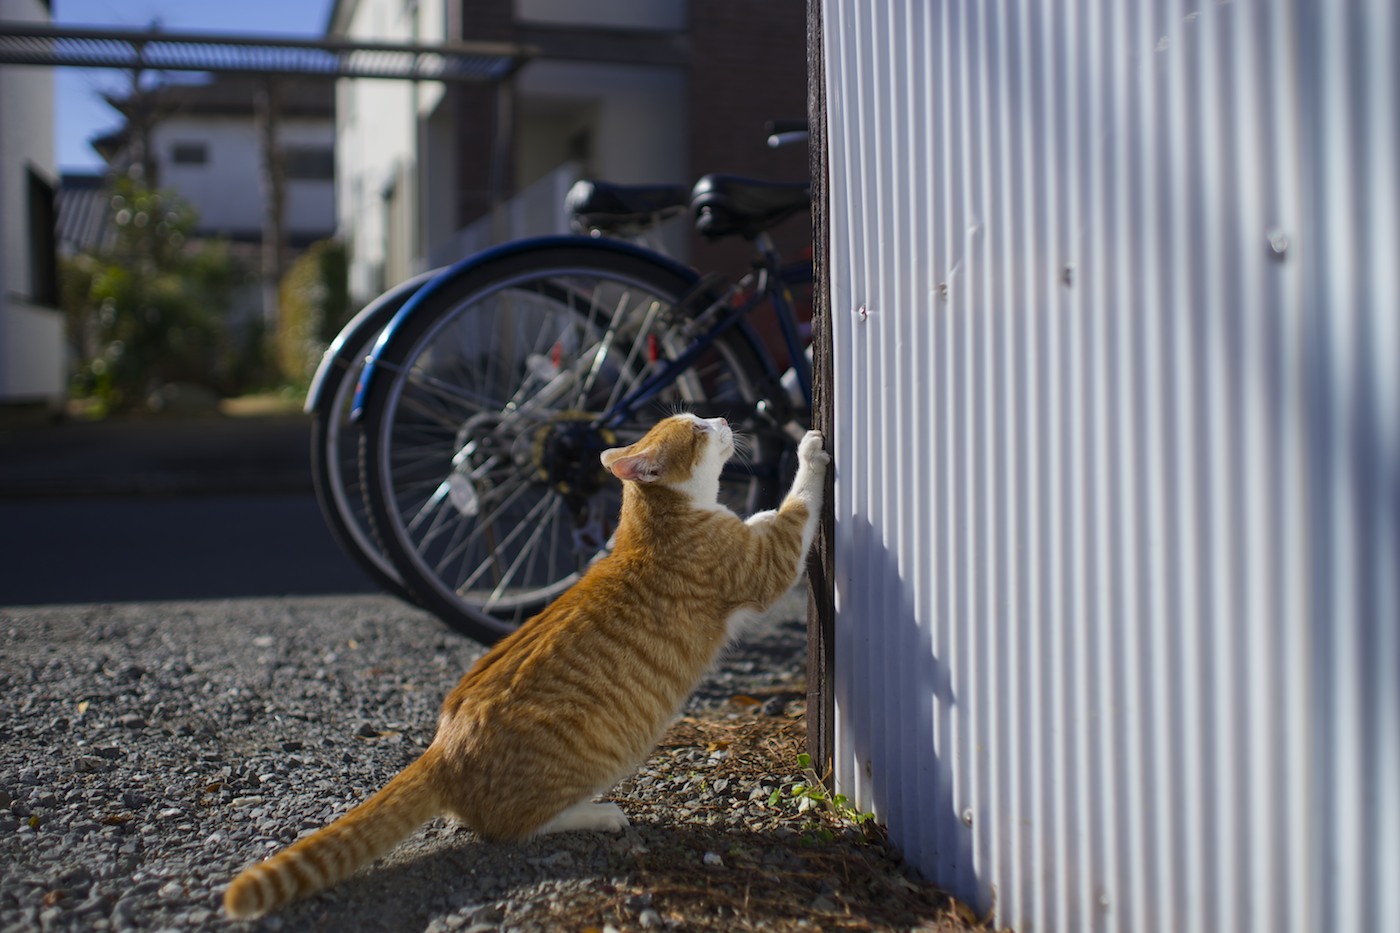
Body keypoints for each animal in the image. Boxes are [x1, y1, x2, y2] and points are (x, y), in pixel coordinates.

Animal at [224, 414, 823, 913]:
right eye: (697, 429)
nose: (721, 416)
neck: (655, 520)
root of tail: (440, 751)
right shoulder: (768, 560)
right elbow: (797, 505)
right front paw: (811, 450)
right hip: (588, 757)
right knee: (512, 828)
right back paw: (597, 814)